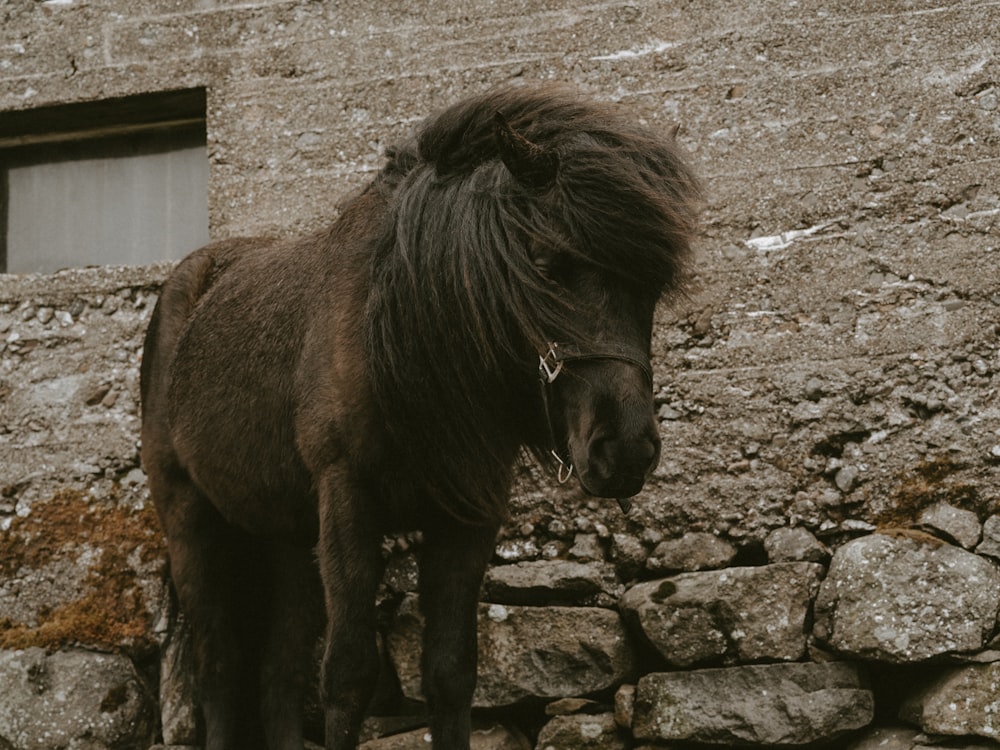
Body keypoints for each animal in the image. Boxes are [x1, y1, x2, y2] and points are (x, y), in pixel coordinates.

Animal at [141, 85, 700, 748]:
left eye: (655, 285)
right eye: (545, 263)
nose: (626, 449)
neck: (398, 336)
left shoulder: (468, 514)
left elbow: (451, 673)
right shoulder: (347, 498)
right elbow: (349, 674)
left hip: (286, 536)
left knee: (279, 675)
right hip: (189, 517)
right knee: (220, 667)